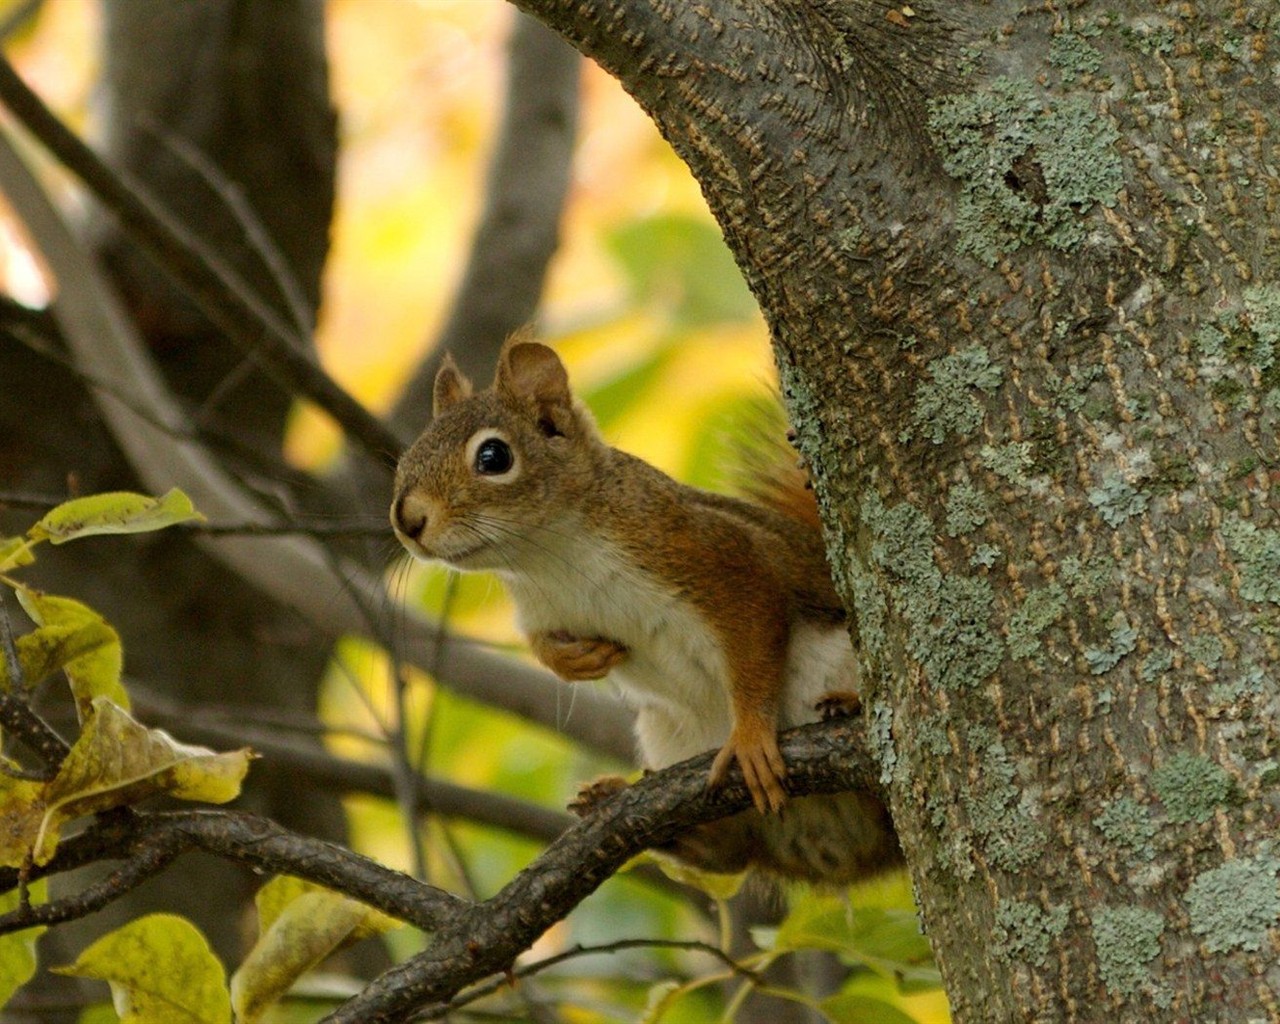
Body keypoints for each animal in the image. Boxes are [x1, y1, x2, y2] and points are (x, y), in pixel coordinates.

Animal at [389, 332, 901, 880]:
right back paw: (658, 821)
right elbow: (541, 643)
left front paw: (750, 737)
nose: (407, 520)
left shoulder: (716, 558)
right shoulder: (542, 610)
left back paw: (849, 703)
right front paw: (573, 661)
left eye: (492, 457)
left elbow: (756, 634)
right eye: (407, 457)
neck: (551, 557)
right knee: (731, 855)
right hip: (666, 733)